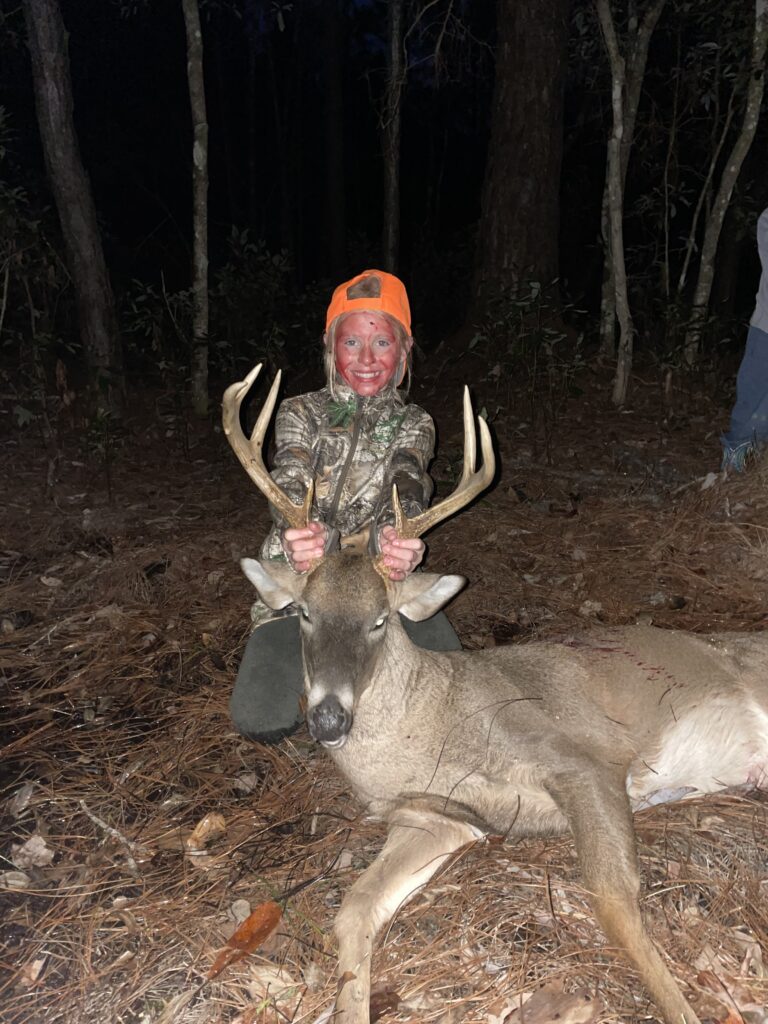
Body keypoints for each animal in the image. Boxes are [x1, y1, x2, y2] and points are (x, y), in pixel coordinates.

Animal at [223, 364, 768, 1024]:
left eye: (380, 620)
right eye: (304, 611)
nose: (328, 720)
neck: (438, 733)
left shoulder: (581, 756)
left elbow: (612, 900)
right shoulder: (433, 816)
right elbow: (352, 911)